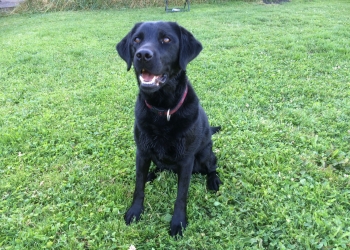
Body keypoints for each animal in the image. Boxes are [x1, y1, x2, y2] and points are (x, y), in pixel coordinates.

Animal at [117, 21, 221, 236]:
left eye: (166, 39)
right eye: (136, 40)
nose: (142, 55)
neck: (161, 109)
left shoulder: (187, 160)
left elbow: (181, 195)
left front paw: (178, 223)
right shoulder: (142, 152)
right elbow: (138, 186)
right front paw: (135, 211)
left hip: (204, 155)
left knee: (213, 166)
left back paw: (213, 181)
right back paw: (151, 174)